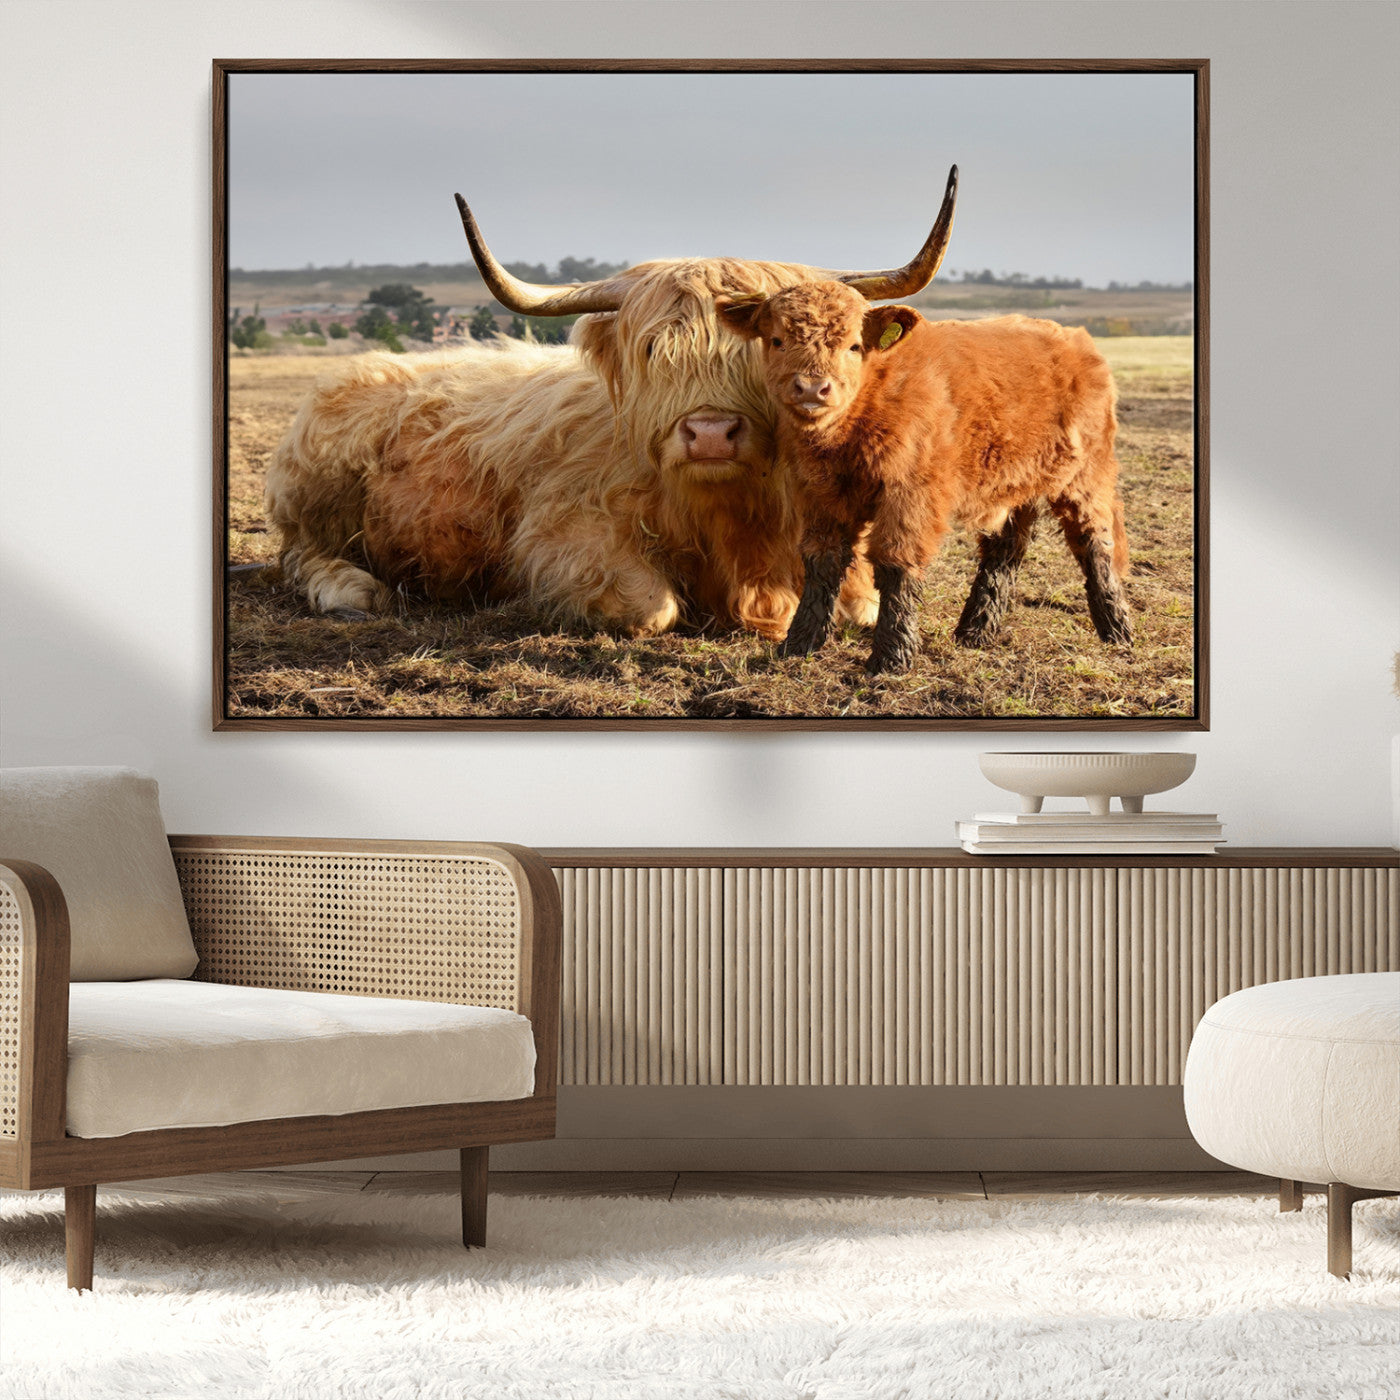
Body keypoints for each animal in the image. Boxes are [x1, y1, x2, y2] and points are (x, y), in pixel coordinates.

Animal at [262, 168, 960, 641]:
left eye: (768, 345)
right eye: (653, 349)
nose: (710, 434)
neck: (732, 518)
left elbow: (861, 603)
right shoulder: (561, 533)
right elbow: (651, 607)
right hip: (319, 495)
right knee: (300, 556)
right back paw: (351, 590)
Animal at [715, 279, 1132, 673]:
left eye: (853, 346)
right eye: (777, 340)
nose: (813, 388)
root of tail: (1075, 338)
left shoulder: (910, 495)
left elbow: (895, 564)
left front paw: (891, 657)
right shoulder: (821, 494)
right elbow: (822, 562)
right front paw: (798, 646)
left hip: (1085, 477)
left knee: (1095, 544)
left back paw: (1118, 631)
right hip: (1014, 484)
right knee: (1005, 552)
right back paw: (975, 631)